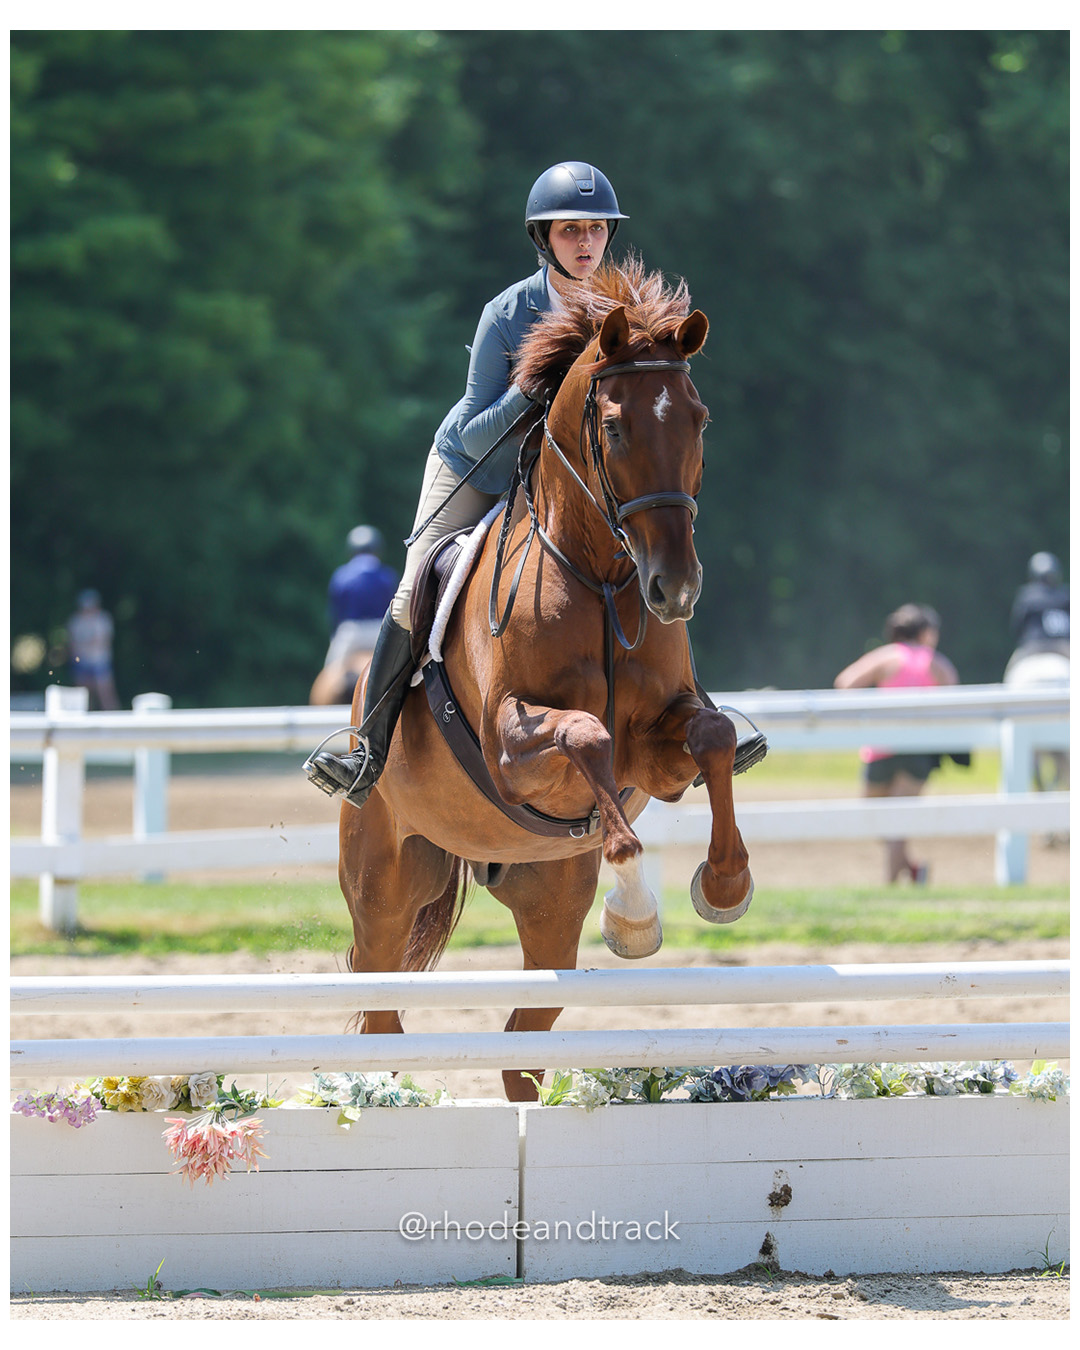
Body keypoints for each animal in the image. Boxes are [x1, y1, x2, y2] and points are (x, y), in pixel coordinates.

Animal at [337, 259, 756, 1100]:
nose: (675, 592)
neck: (599, 576)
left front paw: (725, 887)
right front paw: (636, 912)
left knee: (519, 1046)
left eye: (699, 421)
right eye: (616, 427)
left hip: (550, 900)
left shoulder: (657, 750)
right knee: (380, 1009)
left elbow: (714, 736)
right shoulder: (512, 748)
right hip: (384, 883)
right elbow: (585, 734)